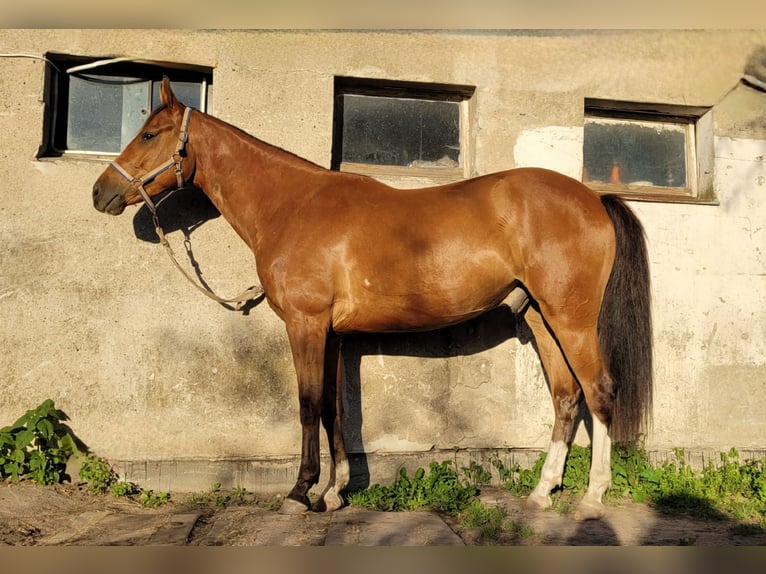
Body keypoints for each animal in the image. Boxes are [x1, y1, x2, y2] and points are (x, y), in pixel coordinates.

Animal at [91, 76, 656, 520]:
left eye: (150, 134)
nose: (100, 193)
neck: (293, 205)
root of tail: (592, 198)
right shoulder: (335, 335)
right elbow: (333, 409)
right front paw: (334, 492)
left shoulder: (305, 324)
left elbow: (307, 405)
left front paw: (299, 493)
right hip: (539, 317)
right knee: (566, 396)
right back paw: (541, 494)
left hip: (572, 319)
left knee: (600, 391)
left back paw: (591, 499)